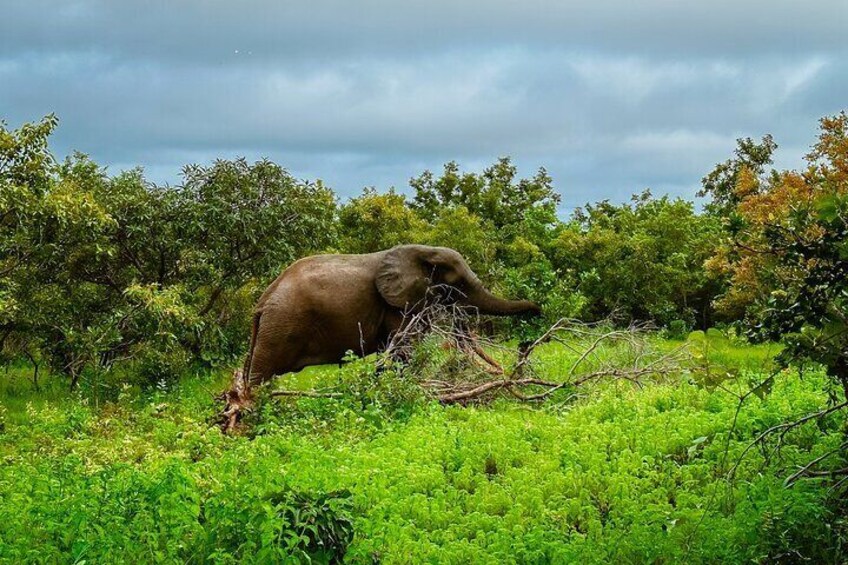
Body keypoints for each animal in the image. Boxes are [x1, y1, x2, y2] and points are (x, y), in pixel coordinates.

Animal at [222, 243, 540, 428]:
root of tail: (262, 302)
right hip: (281, 325)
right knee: (260, 374)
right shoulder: (398, 306)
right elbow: (403, 351)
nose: (537, 311)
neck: (421, 250)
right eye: (457, 284)